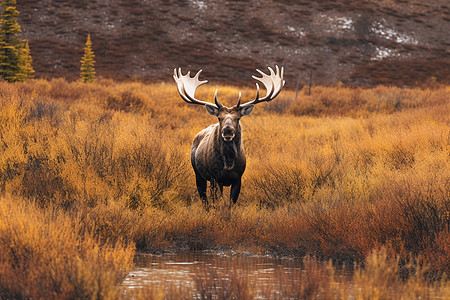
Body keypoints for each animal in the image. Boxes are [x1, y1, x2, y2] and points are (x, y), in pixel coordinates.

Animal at [173, 65, 284, 206]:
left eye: (238, 118)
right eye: (219, 118)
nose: (227, 131)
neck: (228, 164)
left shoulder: (238, 178)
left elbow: (231, 204)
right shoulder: (214, 177)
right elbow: (216, 202)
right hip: (198, 173)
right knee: (204, 198)